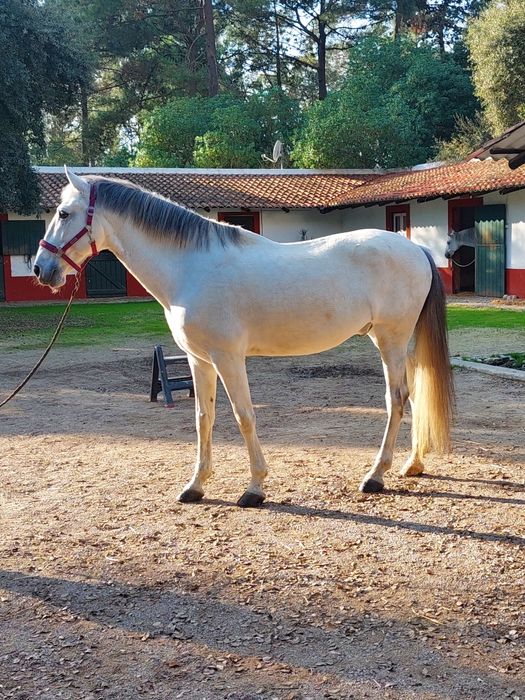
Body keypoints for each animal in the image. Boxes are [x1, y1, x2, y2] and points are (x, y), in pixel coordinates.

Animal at [33, 167, 454, 507]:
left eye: (64, 213)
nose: (41, 269)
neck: (191, 266)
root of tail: (415, 247)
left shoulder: (228, 358)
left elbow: (244, 416)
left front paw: (254, 489)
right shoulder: (199, 359)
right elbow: (203, 417)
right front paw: (195, 486)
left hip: (390, 340)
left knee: (396, 399)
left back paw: (375, 476)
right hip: (394, 343)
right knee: (412, 394)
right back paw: (411, 465)